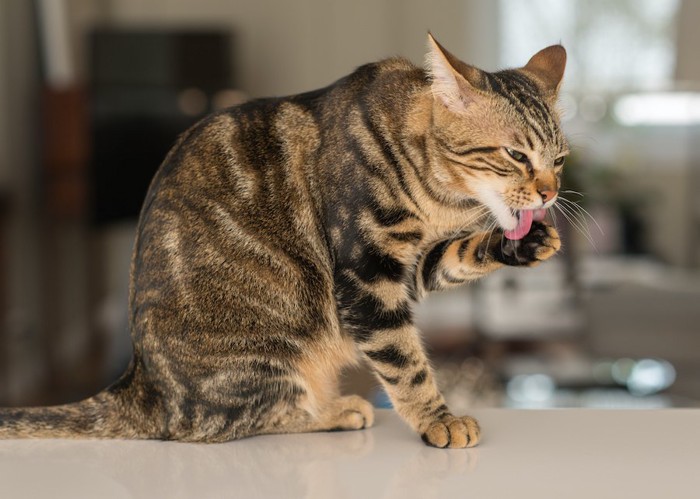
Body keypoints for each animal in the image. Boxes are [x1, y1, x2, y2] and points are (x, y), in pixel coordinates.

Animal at [0, 35, 568, 450]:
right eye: (516, 155)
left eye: (559, 160)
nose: (550, 192)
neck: (437, 196)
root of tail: (141, 384)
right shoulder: (366, 273)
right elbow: (404, 363)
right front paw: (437, 419)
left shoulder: (413, 265)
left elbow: (456, 257)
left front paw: (522, 244)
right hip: (270, 349)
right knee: (231, 423)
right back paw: (336, 410)